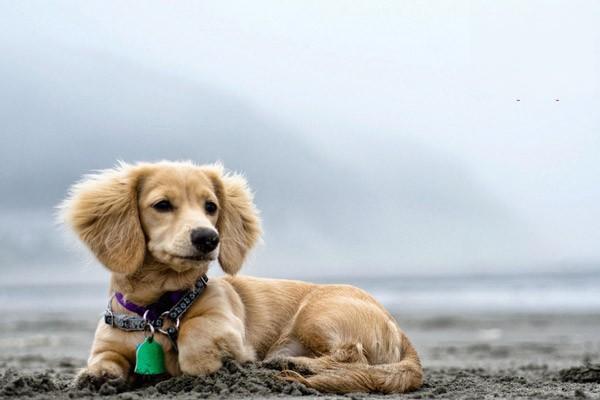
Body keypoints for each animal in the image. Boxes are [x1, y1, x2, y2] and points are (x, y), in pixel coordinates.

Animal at [61, 161, 424, 392]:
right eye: (162, 205)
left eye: (210, 206)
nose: (208, 238)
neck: (159, 307)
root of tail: (397, 326)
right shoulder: (108, 344)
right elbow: (105, 358)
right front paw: (96, 376)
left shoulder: (227, 326)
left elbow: (195, 331)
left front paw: (202, 362)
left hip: (318, 314)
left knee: (353, 357)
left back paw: (296, 366)